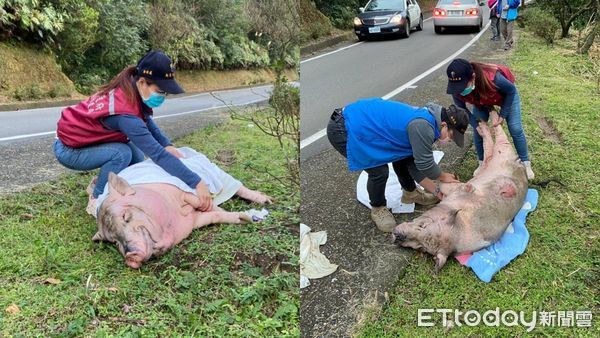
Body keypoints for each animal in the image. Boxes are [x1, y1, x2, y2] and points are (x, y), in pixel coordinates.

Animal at [91, 147, 272, 268]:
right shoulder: (194, 222)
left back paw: (267, 201)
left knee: (239, 187)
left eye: (126, 216)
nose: (130, 256)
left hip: (216, 170)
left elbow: (205, 203)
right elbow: (215, 216)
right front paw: (245, 218)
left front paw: (249, 215)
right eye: (114, 241)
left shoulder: (184, 192)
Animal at [394, 112, 524, 274]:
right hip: (491, 164)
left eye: (422, 226)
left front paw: (454, 183)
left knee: (498, 140)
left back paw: (488, 121)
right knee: (488, 154)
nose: (398, 236)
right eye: (420, 248)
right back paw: (482, 124)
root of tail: (522, 169)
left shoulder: (454, 192)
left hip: (504, 154)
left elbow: (447, 185)